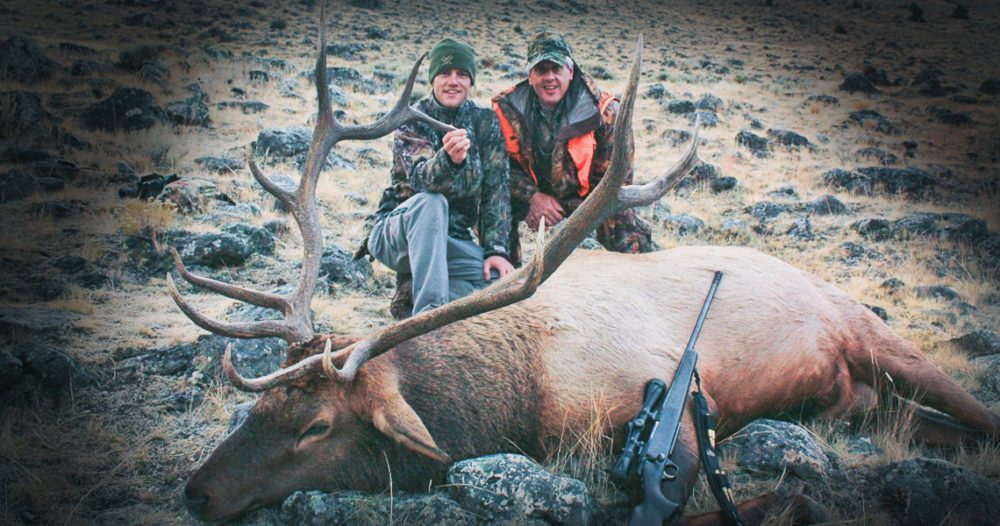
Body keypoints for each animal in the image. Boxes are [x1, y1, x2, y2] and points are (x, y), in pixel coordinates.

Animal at [171, 7, 1000, 524]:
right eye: (255, 411)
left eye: (314, 426)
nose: (196, 493)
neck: (516, 400)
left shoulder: (673, 430)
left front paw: (788, 502)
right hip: (856, 401)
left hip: (875, 336)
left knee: (976, 417)